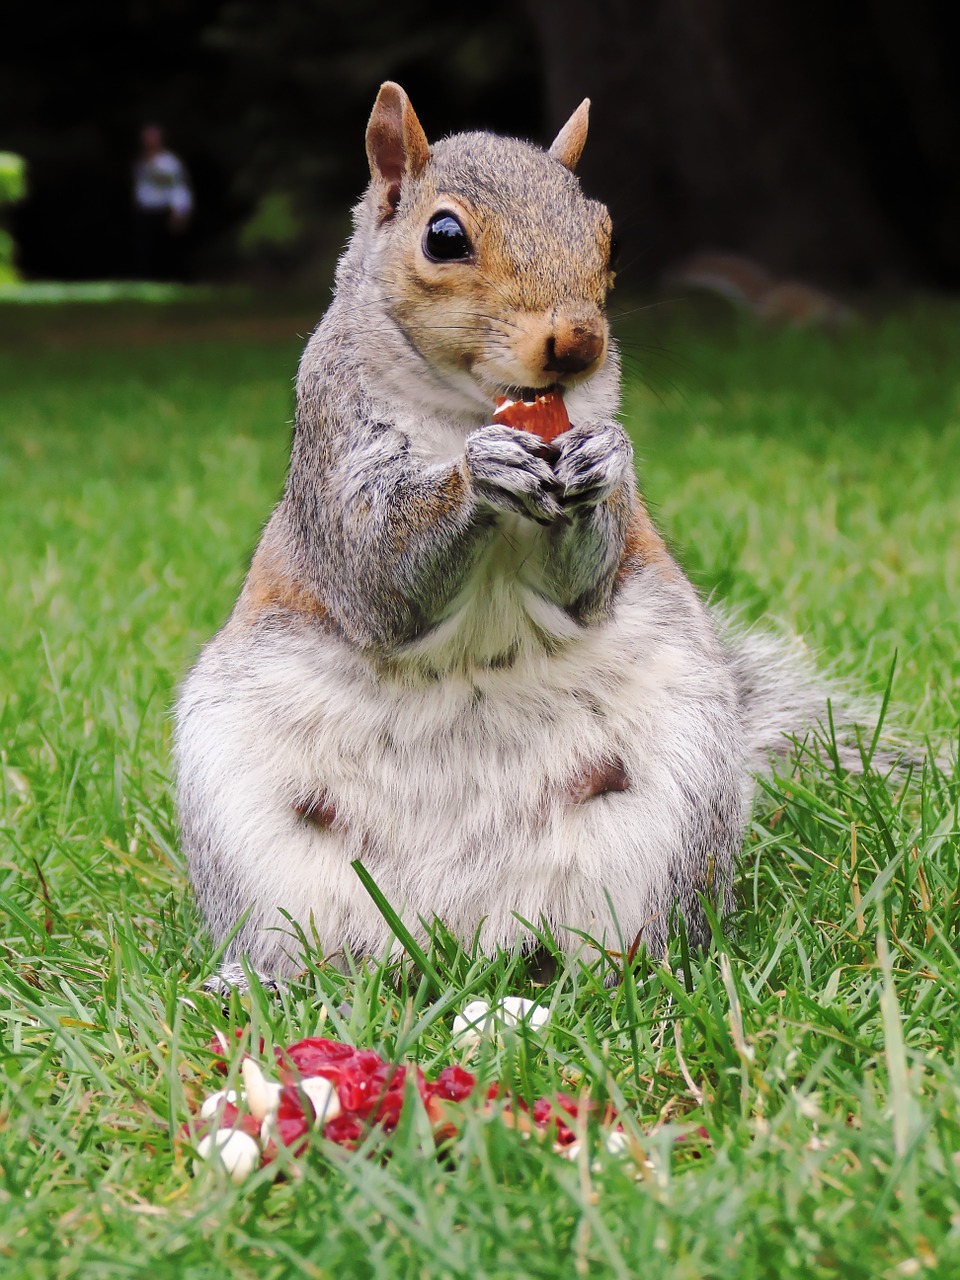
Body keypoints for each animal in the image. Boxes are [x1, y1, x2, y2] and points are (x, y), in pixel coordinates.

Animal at [179, 85, 880, 983]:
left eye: (606, 233)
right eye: (443, 236)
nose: (578, 343)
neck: (469, 408)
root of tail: (451, 932)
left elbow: (584, 578)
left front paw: (603, 460)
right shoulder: (334, 458)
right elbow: (378, 574)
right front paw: (478, 476)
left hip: (673, 802)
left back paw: (638, 973)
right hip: (245, 814)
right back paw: (257, 979)